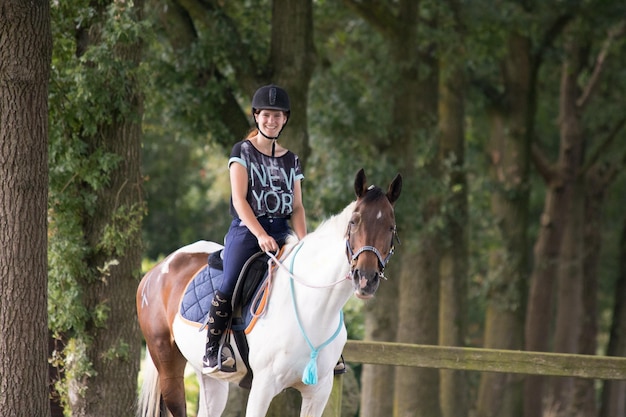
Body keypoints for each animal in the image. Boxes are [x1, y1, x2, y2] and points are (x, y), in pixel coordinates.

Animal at [135, 169, 402, 416]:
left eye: (391, 228)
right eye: (354, 222)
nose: (365, 279)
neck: (314, 309)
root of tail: (156, 271)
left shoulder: (319, 393)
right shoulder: (263, 387)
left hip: (210, 378)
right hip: (168, 364)